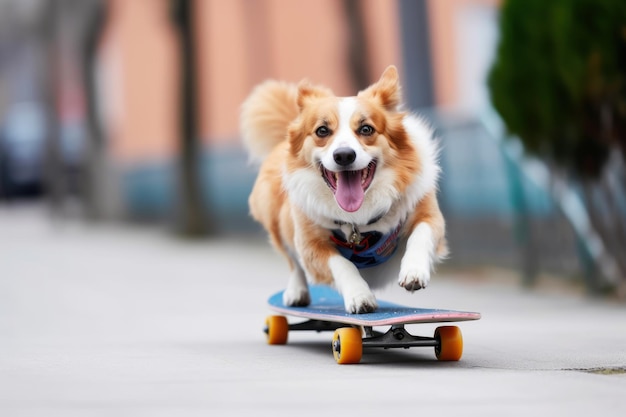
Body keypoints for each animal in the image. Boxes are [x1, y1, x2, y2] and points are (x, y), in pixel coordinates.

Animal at [240, 65, 448, 312]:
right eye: (322, 131)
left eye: (366, 129)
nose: (344, 155)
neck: (359, 219)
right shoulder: (310, 245)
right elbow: (341, 264)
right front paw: (360, 296)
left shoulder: (429, 214)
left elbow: (421, 234)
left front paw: (413, 272)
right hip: (275, 220)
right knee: (293, 262)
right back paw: (296, 292)